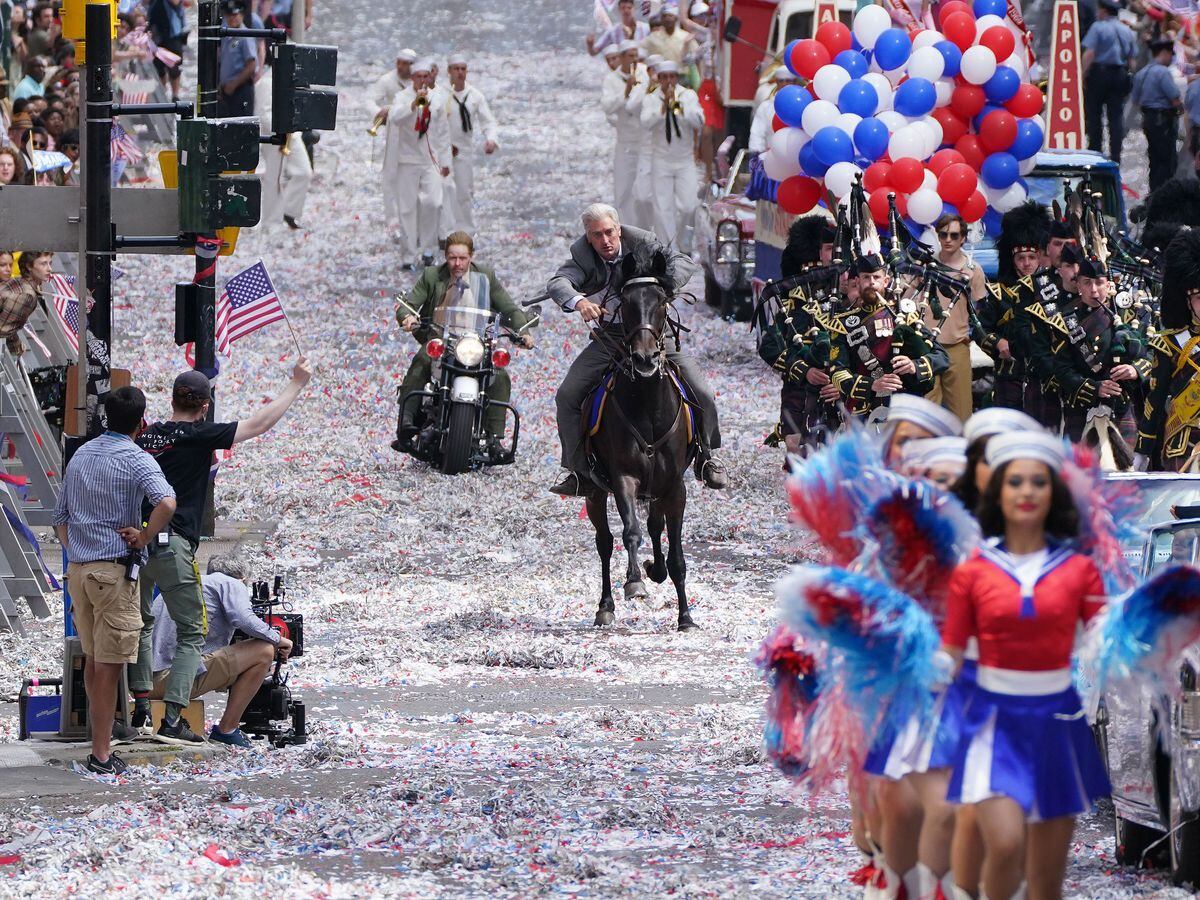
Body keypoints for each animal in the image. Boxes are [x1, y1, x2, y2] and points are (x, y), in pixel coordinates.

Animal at [585, 243, 700, 628]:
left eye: (662, 301)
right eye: (625, 302)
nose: (646, 358)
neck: (648, 404)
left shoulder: (675, 486)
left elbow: (675, 553)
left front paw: (685, 616)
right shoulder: (624, 478)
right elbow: (630, 531)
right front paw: (635, 581)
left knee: (654, 525)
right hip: (593, 490)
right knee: (605, 542)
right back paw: (605, 605)